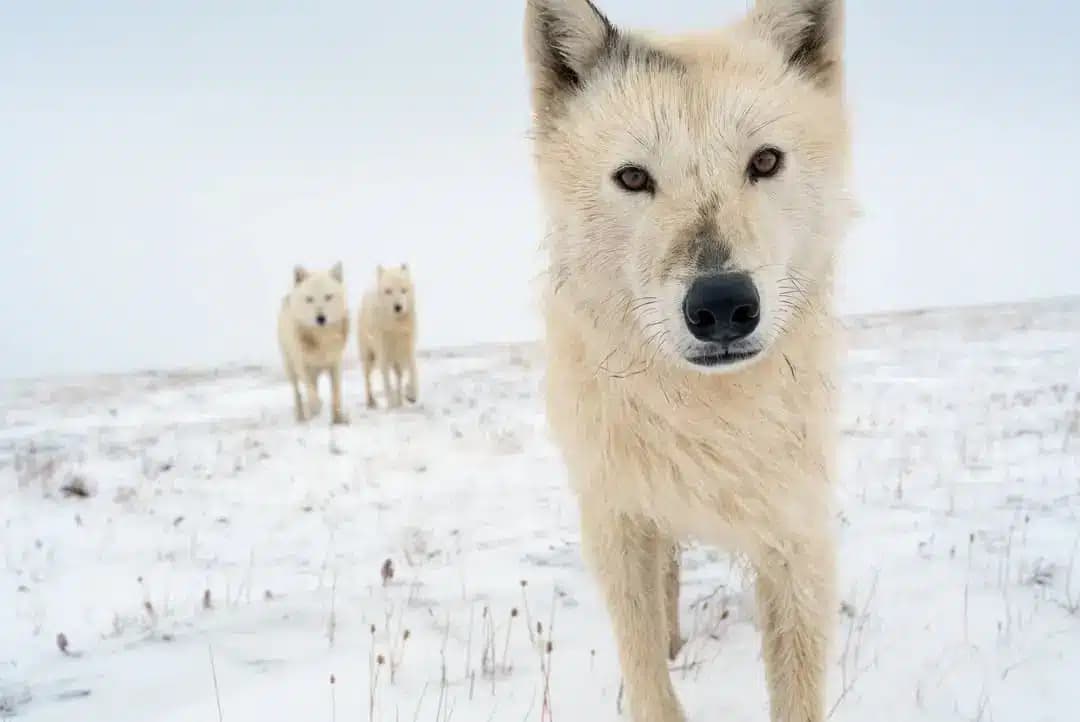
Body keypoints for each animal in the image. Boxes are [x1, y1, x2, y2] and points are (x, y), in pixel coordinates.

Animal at [277, 263, 350, 425]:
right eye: (310, 299)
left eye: (328, 297)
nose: (320, 318)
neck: (321, 337)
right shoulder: (303, 366)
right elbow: (311, 392)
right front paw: (315, 407)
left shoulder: (335, 363)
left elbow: (336, 393)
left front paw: (338, 419)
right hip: (290, 367)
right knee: (298, 392)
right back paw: (302, 416)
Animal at [357, 264, 418, 409]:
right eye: (388, 291)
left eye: (403, 290)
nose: (398, 307)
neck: (395, 327)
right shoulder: (383, 351)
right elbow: (386, 380)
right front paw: (391, 404)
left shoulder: (408, 345)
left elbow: (413, 369)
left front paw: (411, 395)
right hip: (368, 355)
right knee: (367, 378)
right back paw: (371, 402)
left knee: (399, 376)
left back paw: (400, 400)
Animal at [524, 1, 853, 720]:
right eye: (633, 177)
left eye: (765, 161)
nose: (723, 305)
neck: (707, 411)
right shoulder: (618, 520)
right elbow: (647, 670)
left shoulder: (797, 534)